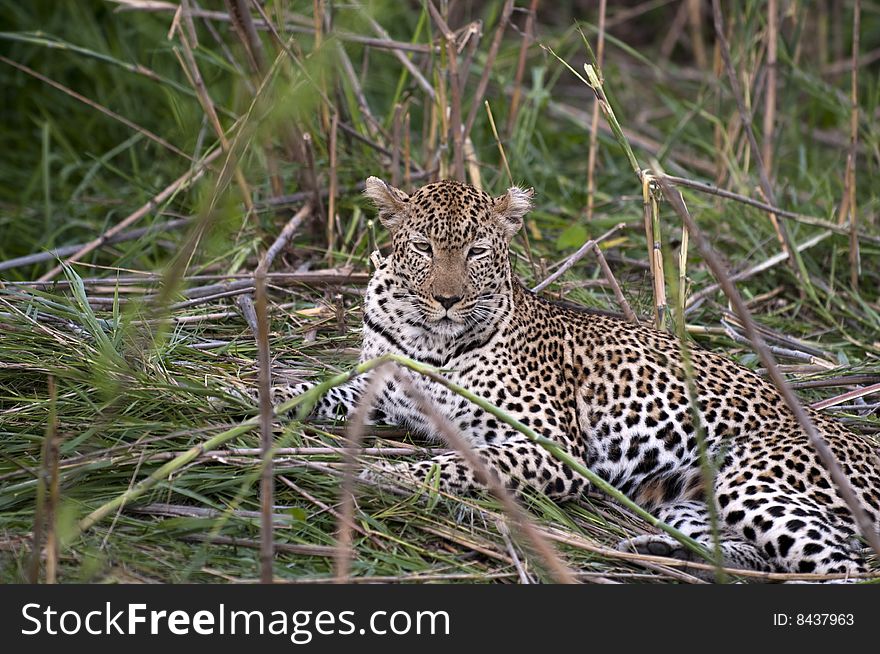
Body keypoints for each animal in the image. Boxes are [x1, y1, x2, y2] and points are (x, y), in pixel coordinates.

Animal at [272, 177, 880, 580]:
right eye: (422, 247)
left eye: (477, 251)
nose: (447, 299)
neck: (430, 340)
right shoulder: (376, 386)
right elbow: (315, 388)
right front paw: (263, 401)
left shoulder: (552, 444)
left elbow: (459, 463)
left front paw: (385, 475)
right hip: (687, 498)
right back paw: (666, 554)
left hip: (753, 480)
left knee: (844, 563)